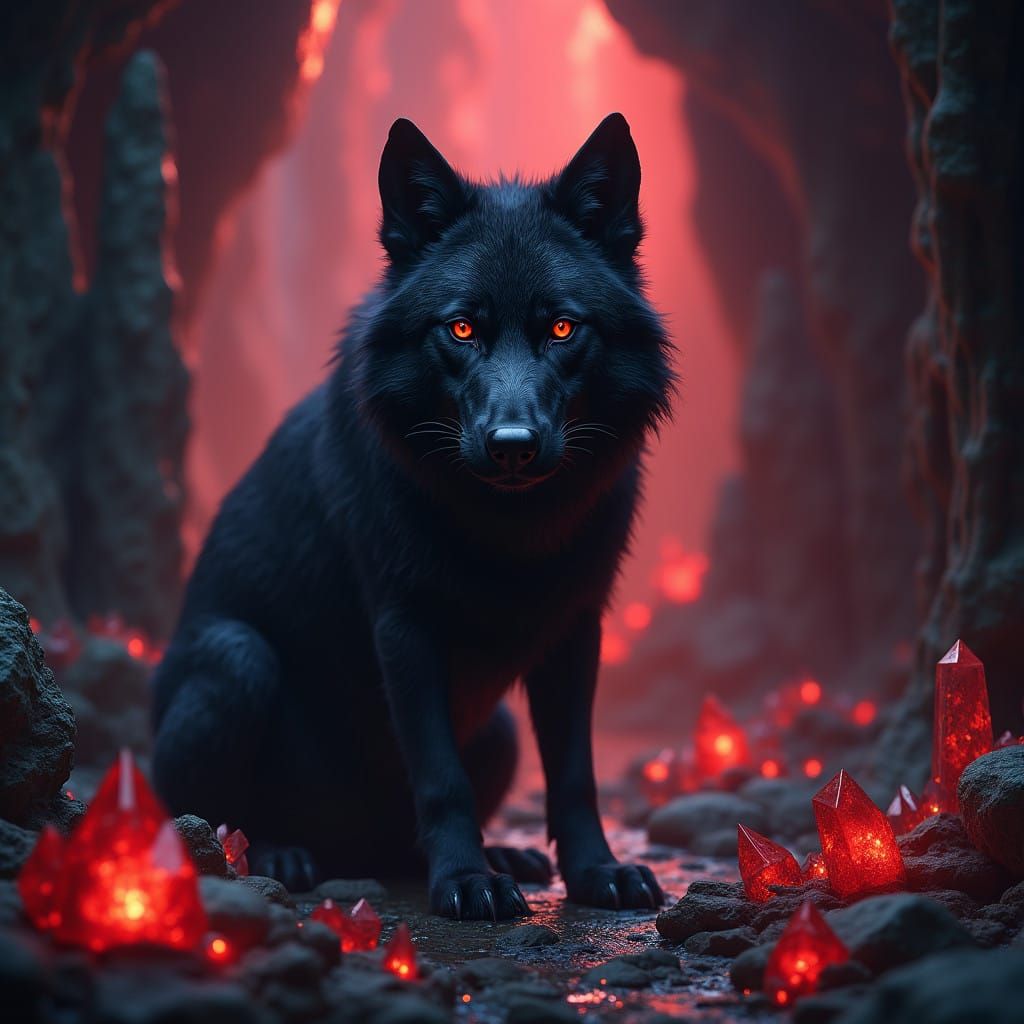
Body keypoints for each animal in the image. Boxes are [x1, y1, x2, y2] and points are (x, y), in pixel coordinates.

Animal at [152, 113, 673, 919]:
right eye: (460, 330)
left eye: (562, 329)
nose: (513, 445)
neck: (509, 532)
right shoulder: (405, 628)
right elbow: (440, 778)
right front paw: (463, 882)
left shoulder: (576, 630)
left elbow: (575, 775)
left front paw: (597, 874)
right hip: (236, 662)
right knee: (206, 822)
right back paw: (280, 854)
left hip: (498, 729)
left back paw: (501, 854)